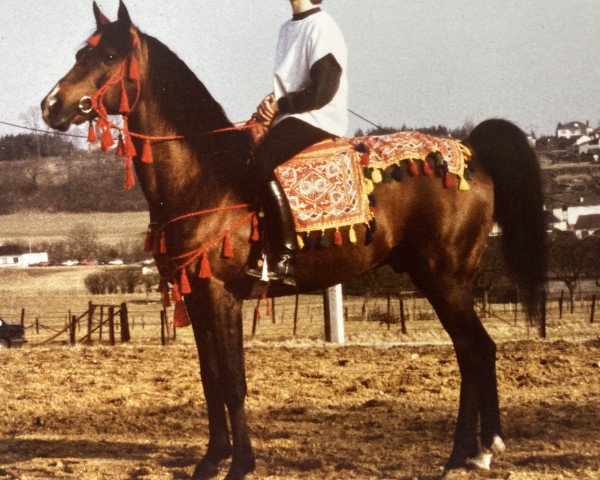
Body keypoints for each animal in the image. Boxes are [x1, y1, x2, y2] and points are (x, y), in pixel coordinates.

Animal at [41, 1, 548, 478]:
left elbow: (232, 381)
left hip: (445, 279)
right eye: (80, 53)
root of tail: (472, 154)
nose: (50, 105)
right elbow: (210, 379)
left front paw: (240, 465)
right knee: (472, 353)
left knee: (477, 350)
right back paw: (471, 452)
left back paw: (469, 454)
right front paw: (211, 460)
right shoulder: (199, 295)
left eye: (108, 56)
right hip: (438, 279)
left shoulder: (221, 294)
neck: (202, 176)